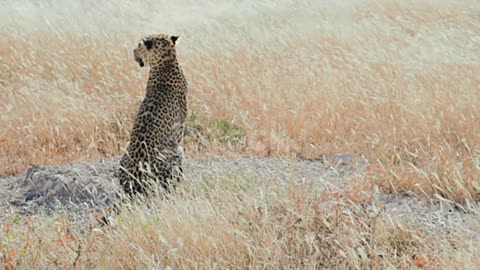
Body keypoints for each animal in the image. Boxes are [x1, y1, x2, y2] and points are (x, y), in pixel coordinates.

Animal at [117, 34, 188, 198]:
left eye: (138, 46)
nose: (133, 52)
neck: (167, 60)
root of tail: (133, 184)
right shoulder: (179, 129)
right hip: (175, 154)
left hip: (125, 153)